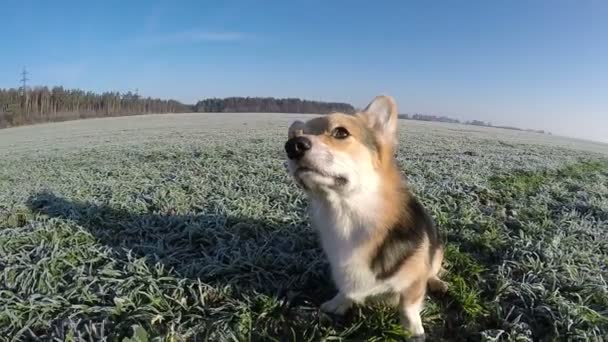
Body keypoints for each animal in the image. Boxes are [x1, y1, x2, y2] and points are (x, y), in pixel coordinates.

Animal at [284, 95, 446, 338]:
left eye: (340, 132)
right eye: (295, 135)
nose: (292, 146)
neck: (346, 214)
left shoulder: (413, 283)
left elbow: (408, 307)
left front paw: (414, 331)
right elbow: (346, 291)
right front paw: (338, 304)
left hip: (436, 251)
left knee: (433, 270)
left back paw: (438, 282)